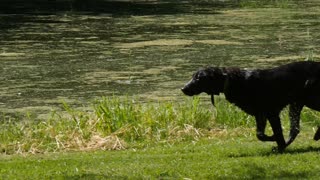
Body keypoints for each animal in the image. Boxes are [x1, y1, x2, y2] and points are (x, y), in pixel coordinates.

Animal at [181, 61, 320, 151]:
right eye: (193, 77)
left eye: (198, 78)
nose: (183, 88)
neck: (232, 80)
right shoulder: (260, 113)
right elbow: (260, 134)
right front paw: (276, 141)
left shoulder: (271, 112)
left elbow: (277, 132)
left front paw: (279, 144)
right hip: (297, 103)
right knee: (295, 129)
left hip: (309, 99)